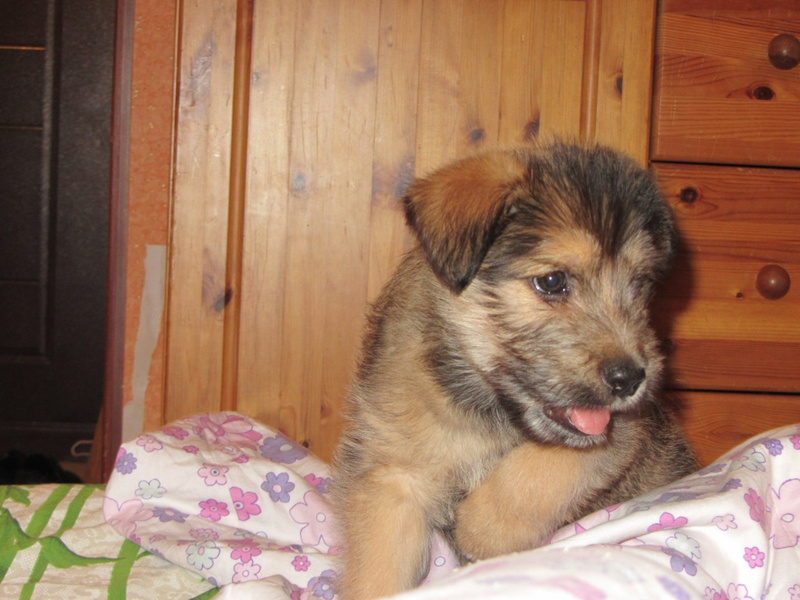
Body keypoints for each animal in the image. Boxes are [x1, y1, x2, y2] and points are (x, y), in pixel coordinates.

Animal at [332, 141, 698, 600]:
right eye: (552, 281)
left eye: (640, 284)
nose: (631, 379)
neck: (490, 411)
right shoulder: (394, 474)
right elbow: (379, 564)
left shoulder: (624, 432)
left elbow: (539, 472)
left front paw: (481, 528)